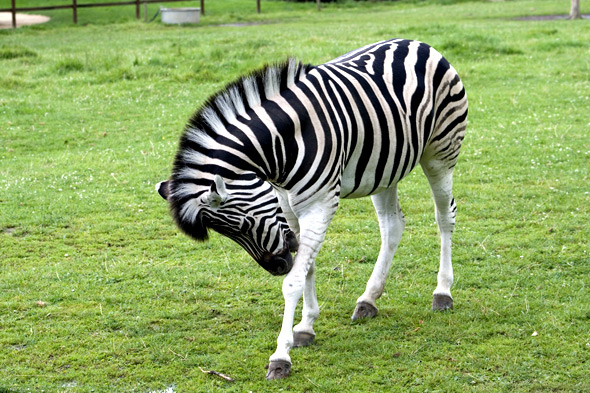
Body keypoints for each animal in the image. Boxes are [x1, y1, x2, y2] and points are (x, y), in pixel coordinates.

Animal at [158, 38, 472, 378]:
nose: (276, 266)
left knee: (445, 216)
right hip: (384, 168)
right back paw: (368, 300)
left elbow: (294, 281)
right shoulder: (287, 203)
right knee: (393, 225)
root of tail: (417, 42)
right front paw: (305, 327)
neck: (283, 144)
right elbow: (307, 266)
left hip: (440, 153)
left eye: (242, 225)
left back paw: (442, 293)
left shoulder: (319, 204)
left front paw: (281, 356)